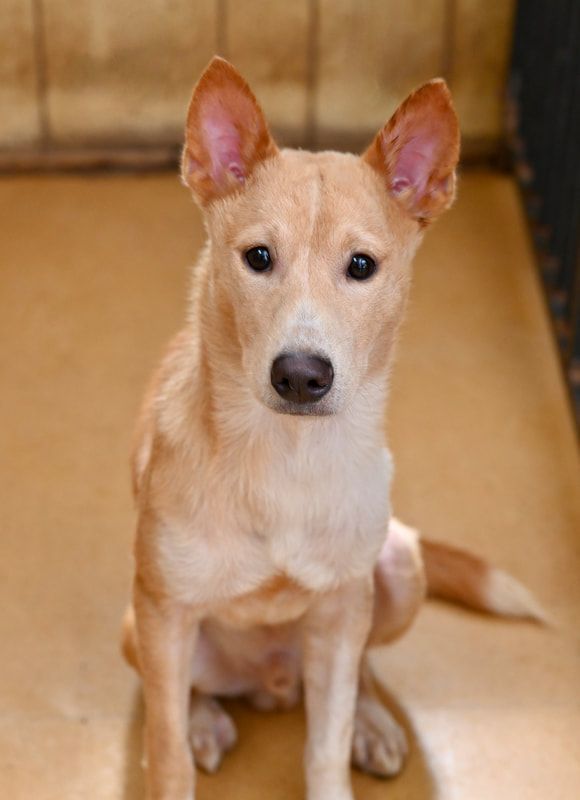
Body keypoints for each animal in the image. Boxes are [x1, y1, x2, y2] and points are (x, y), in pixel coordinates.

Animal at [123, 57, 544, 800]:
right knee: (182, 694)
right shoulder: (163, 609)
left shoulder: (344, 609)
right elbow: (166, 752)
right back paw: (205, 718)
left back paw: (372, 723)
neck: (287, 458)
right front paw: (181, 743)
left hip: (394, 569)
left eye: (361, 266)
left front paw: (349, 742)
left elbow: (325, 745)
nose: (300, 375)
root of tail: (270, 684)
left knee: (359, 677)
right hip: (133, 624)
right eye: (258, 258)